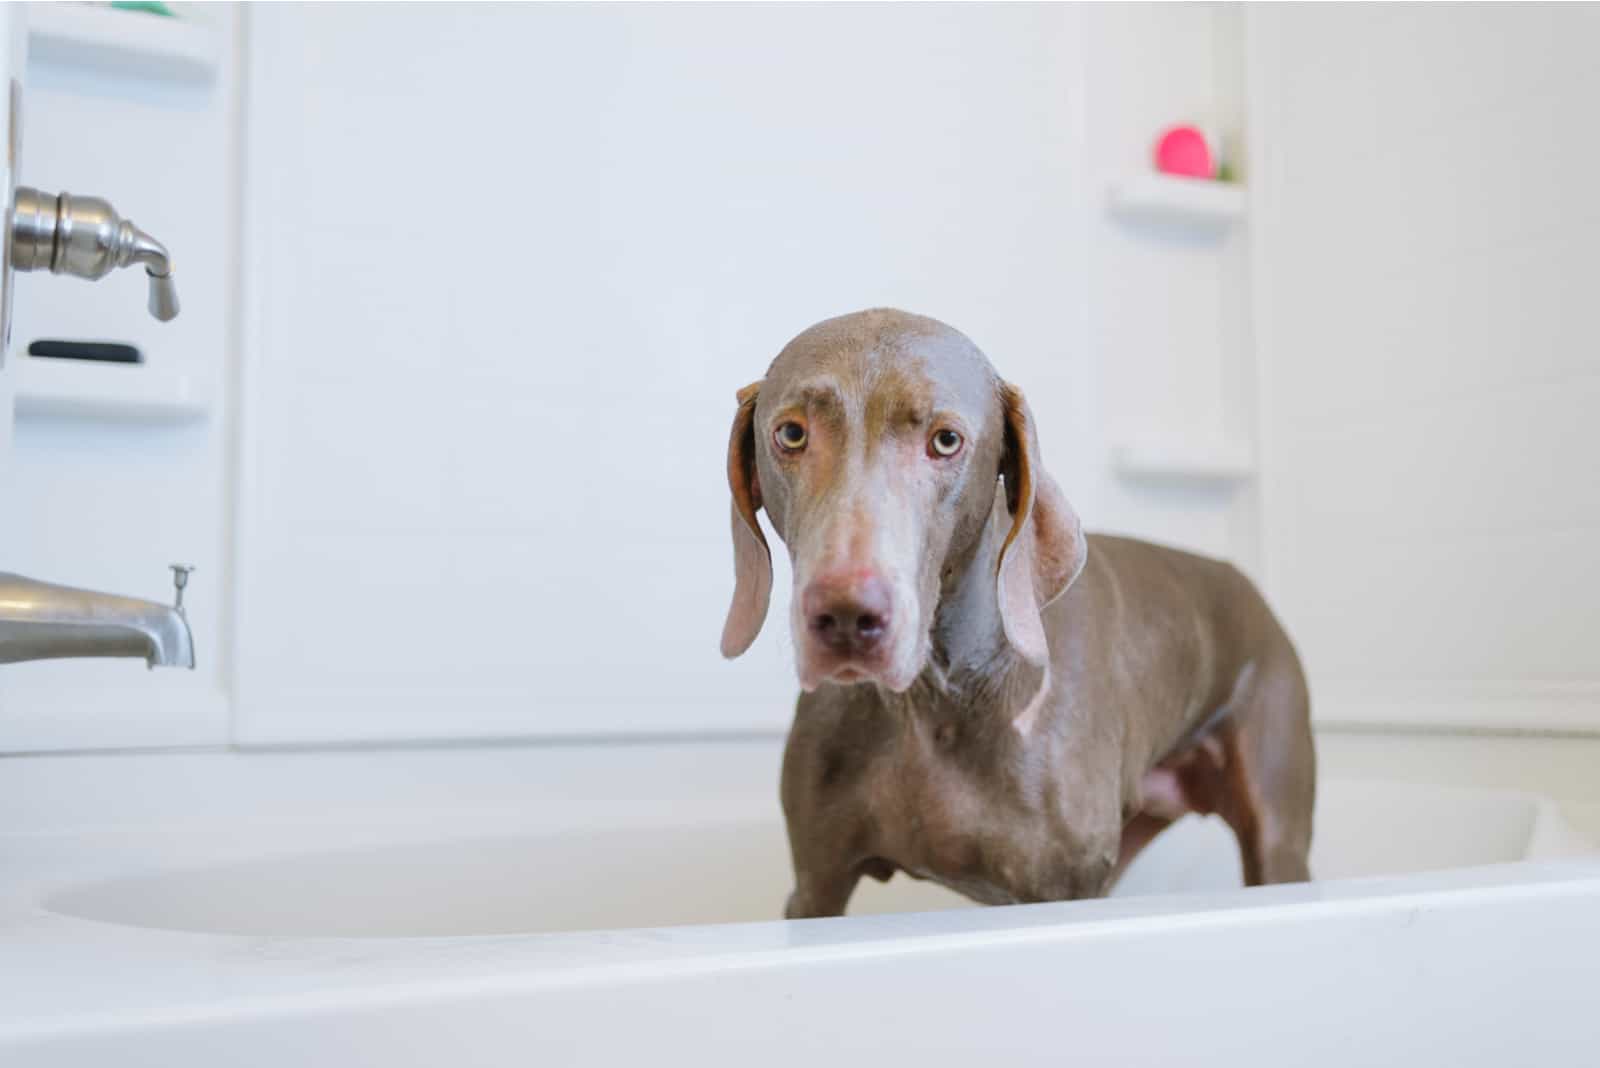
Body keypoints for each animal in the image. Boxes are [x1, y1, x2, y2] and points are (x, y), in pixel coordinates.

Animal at [723, 308, 1312, 920]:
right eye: (791, 433)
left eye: (946, 440)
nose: (846, 615)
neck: (932, 698)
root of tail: (1245, 584)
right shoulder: (816, 883)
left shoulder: (1059, 885)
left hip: (1277, 832)